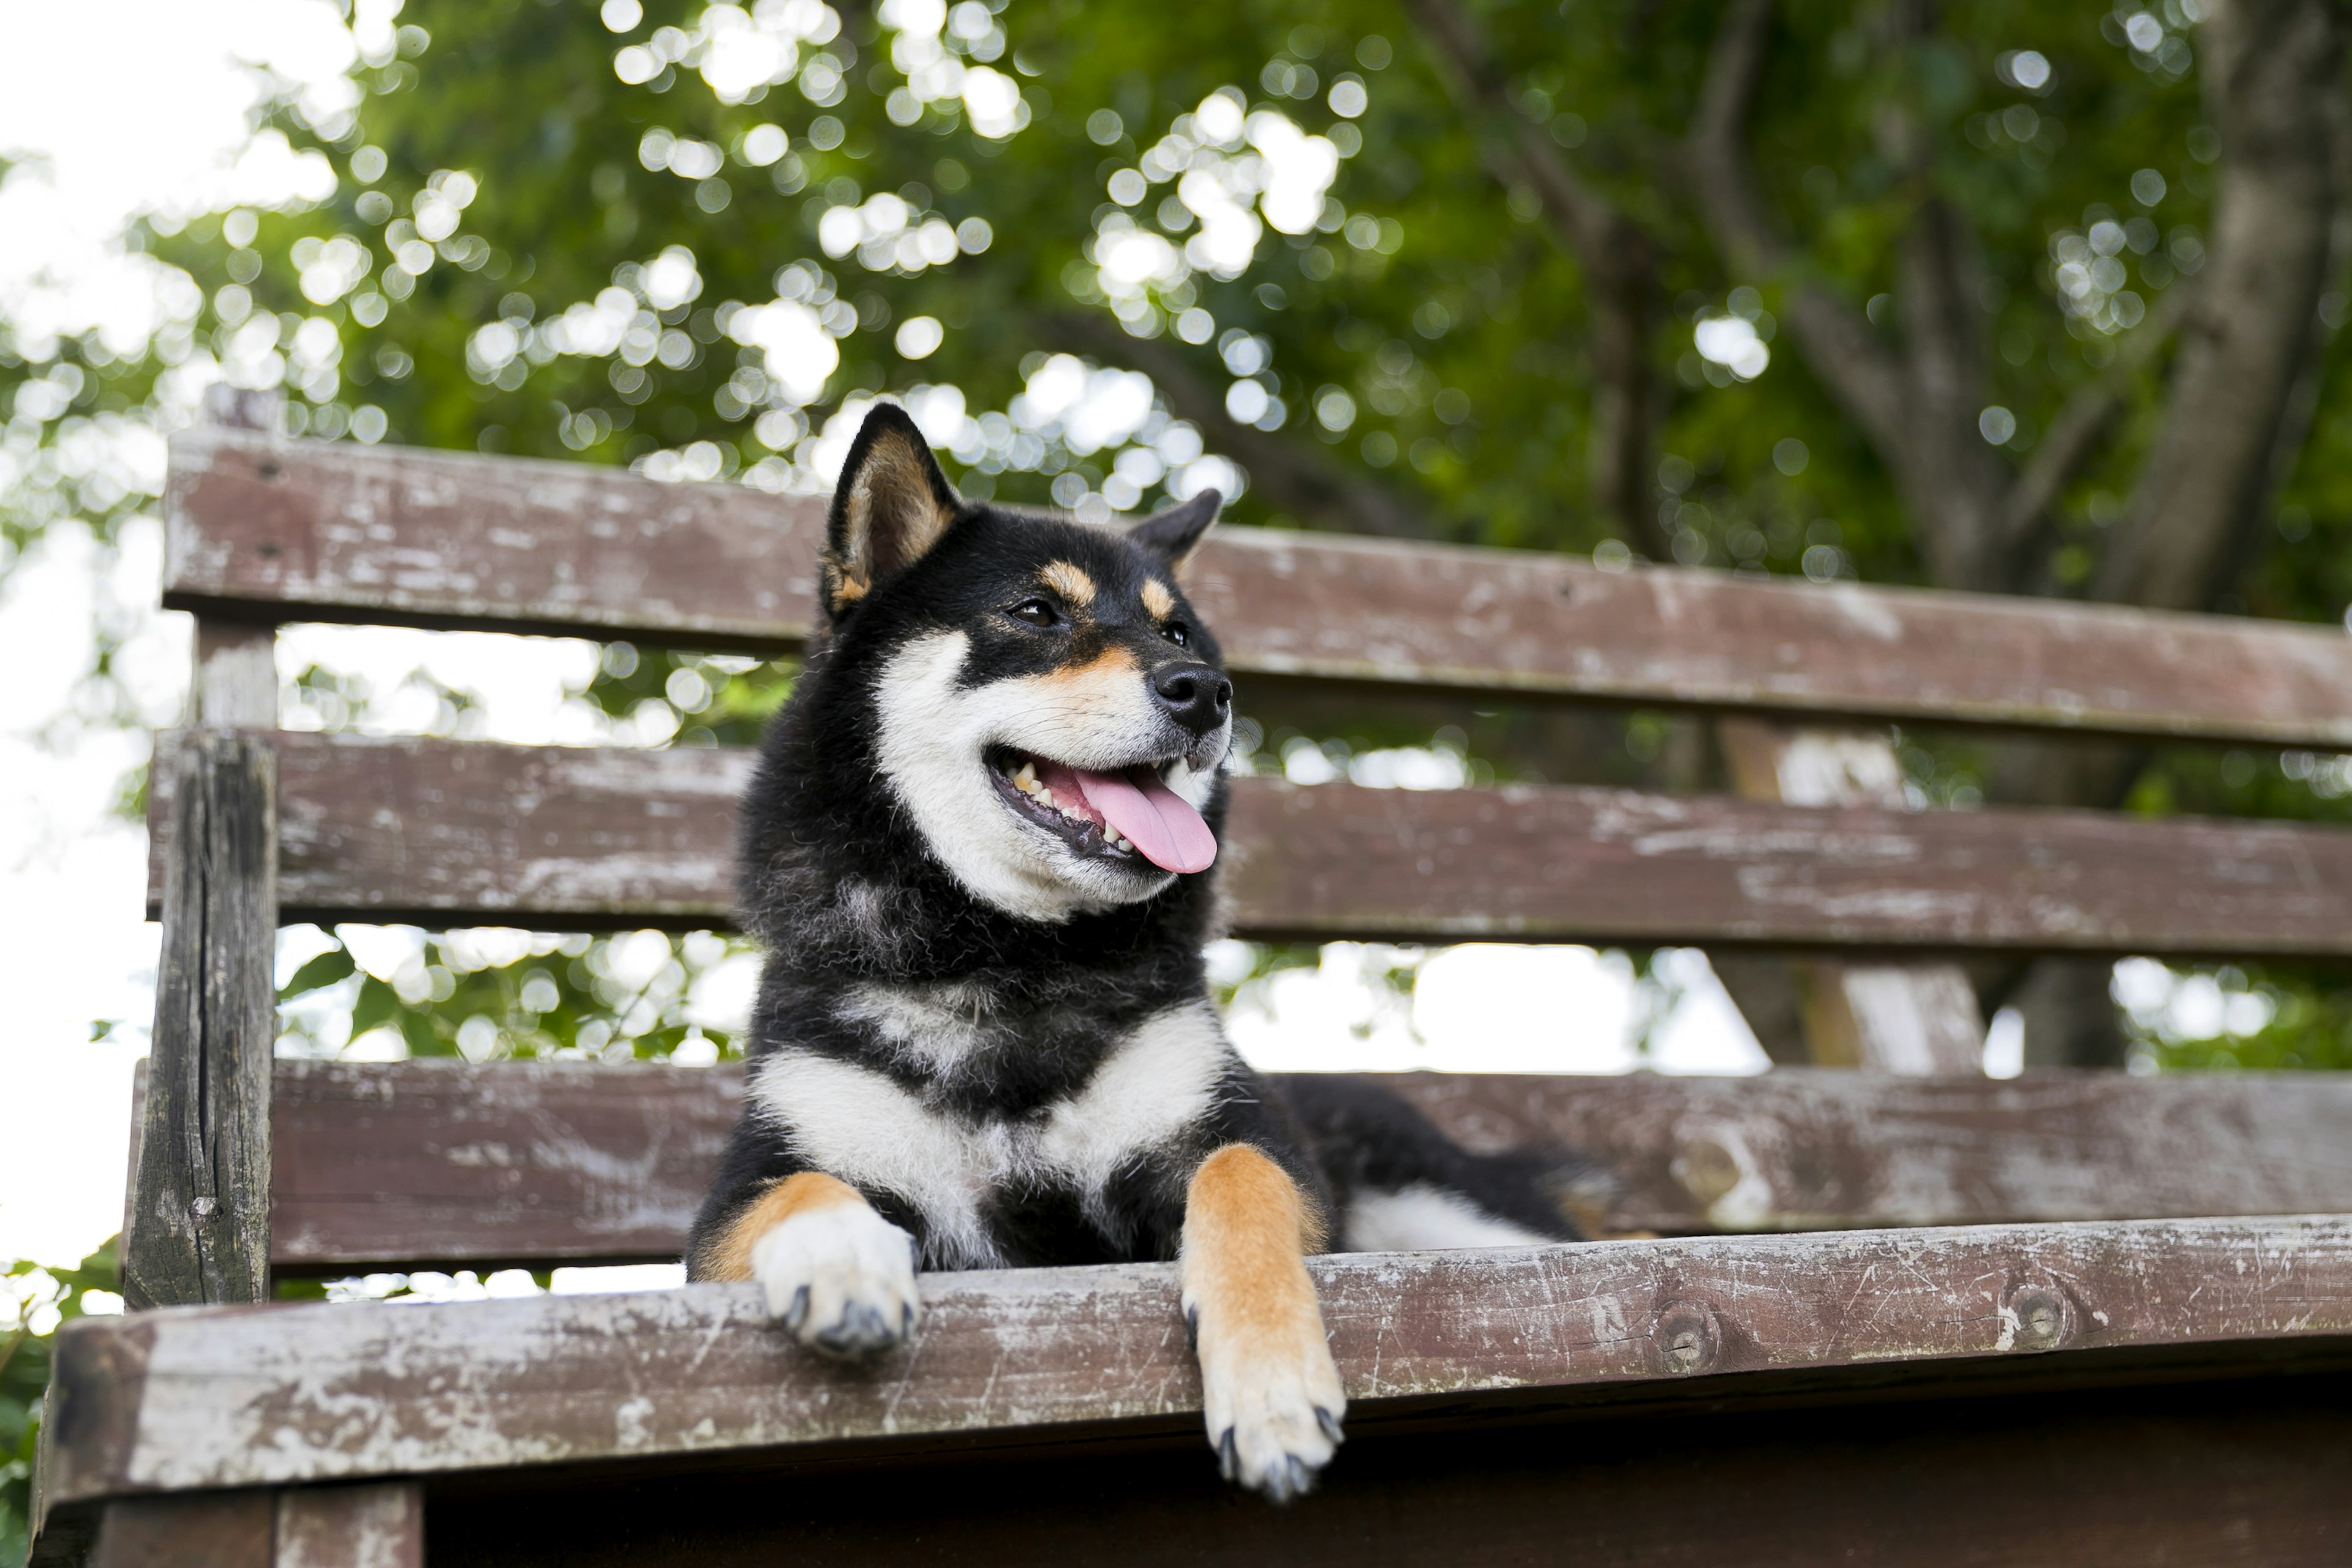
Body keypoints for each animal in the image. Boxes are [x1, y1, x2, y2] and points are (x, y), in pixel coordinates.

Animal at [682, 402, 1599, 1495]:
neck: (1013, 960)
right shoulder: (729, 1218)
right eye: (1036, 612)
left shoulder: (1243, 1144)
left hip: (1466, 1217)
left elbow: (1238, 1179)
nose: (1207, 689)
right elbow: (799, 1189)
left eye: (1176, 630)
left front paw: (1271, 1386)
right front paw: (843, 1258)